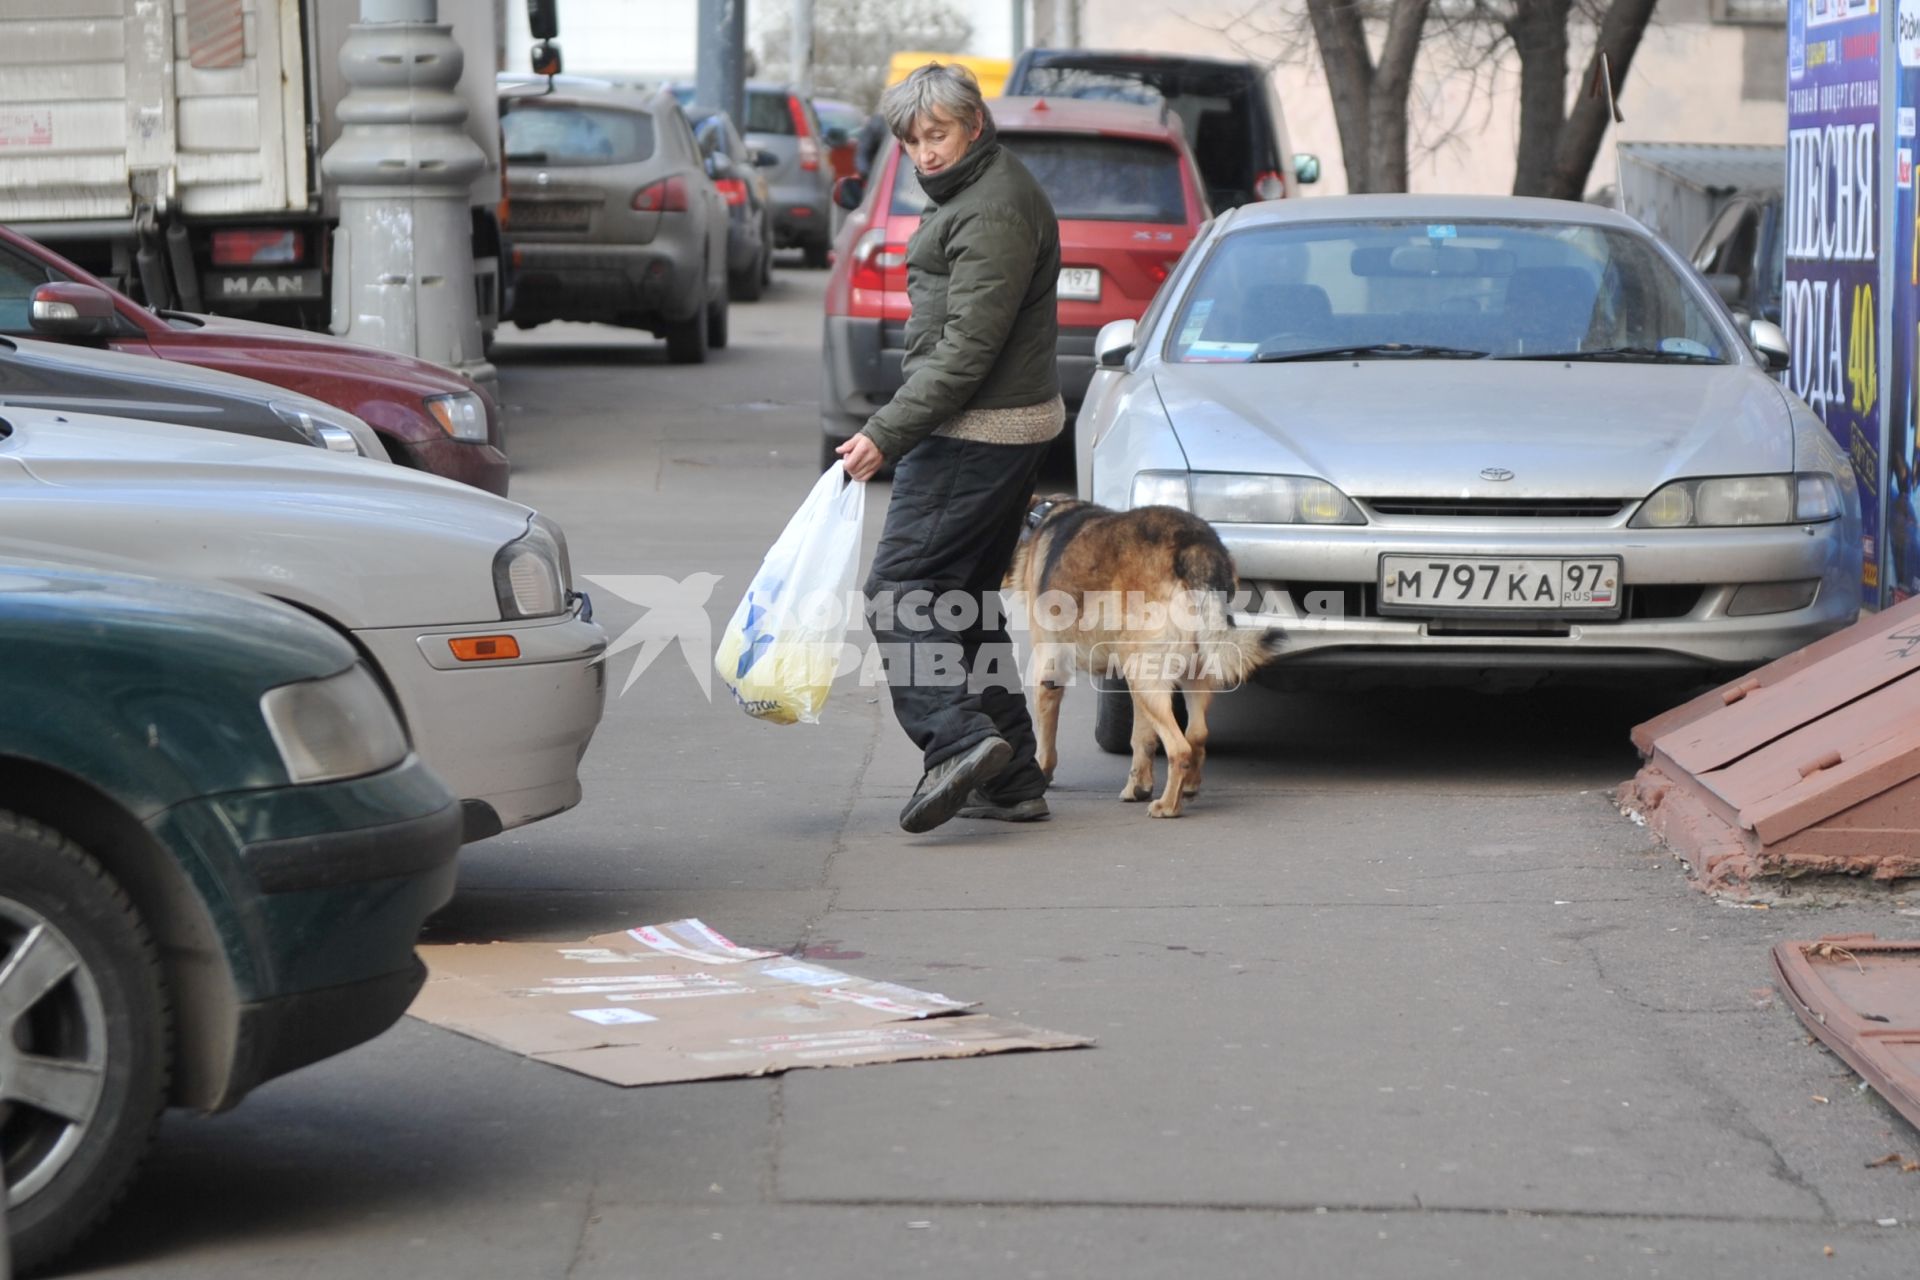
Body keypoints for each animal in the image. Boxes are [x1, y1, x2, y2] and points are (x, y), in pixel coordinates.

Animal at [1006, 495, 1274, 817]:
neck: (1040, 517)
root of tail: (1194, 547)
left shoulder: (1049, 671)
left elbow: (1046, 740)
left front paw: (1041, 775)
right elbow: (1142, 738)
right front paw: (1139, 786)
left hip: (1143, 677)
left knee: (1180, 748)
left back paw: (1168, 806)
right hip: (1180, 673)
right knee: (1197, 735)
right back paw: (1188, 788)